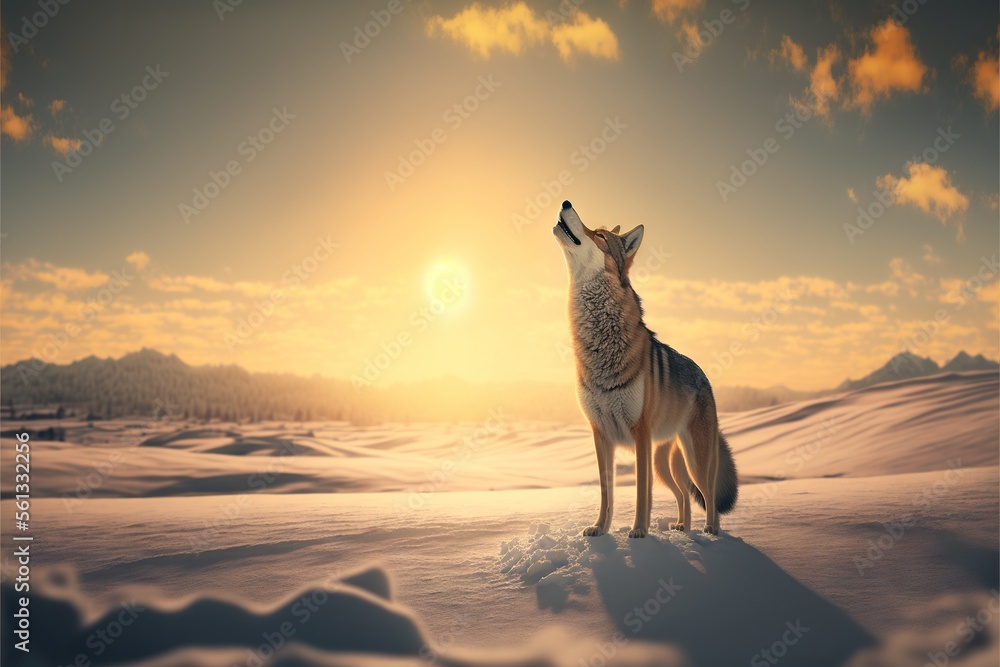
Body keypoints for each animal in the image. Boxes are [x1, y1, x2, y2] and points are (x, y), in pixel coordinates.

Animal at [553, 200, 738, 537]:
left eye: (599, 235)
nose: (566, 202)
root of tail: (705, 377)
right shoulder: (600, 434)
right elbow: (607, 493)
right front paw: (599, 529)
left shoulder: (639, 435)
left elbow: (641, 492)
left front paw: (639, 531)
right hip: (664, 463)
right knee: (684, 495)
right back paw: (683, 528)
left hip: (694, 459)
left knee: (707, 494)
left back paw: (710, 531)